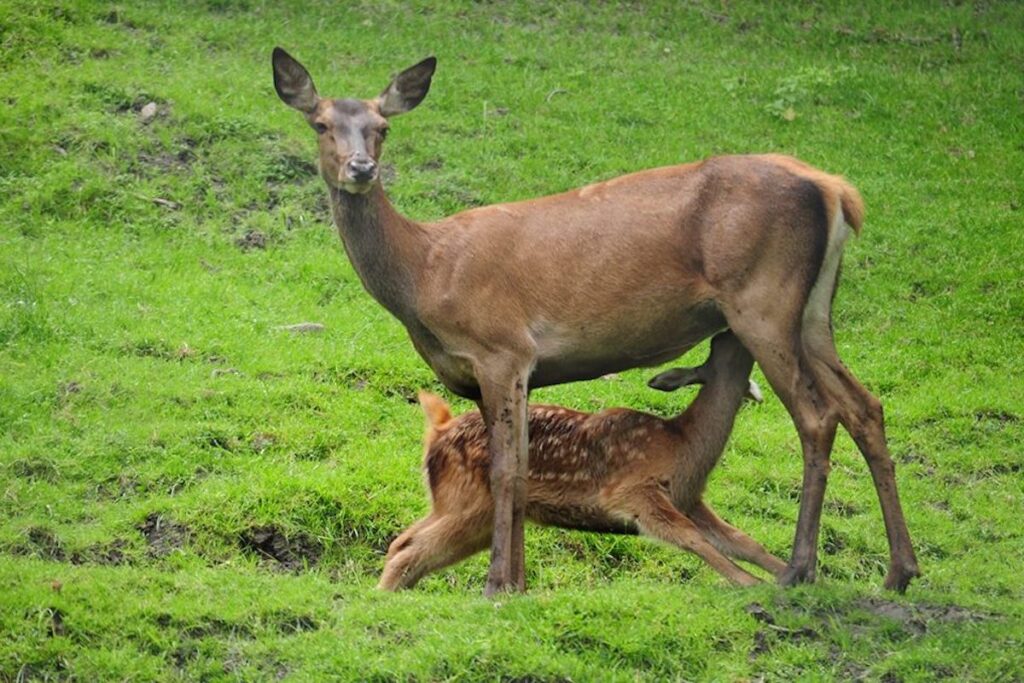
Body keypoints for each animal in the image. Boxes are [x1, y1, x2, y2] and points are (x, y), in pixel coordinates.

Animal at [270, 49, 921, 593]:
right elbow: (518, 467)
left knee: (817, 416)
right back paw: (899, 572)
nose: (360, 168)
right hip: (810, 312)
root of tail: (836, 189)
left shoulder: (502, 348)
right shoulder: (485, 374)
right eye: (321, 123)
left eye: (383, 127)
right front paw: (519, 584)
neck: (425, 275)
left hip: (761, 299)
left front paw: (496, 585)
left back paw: (799, 569)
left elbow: (507, 471)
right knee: (865, 405)